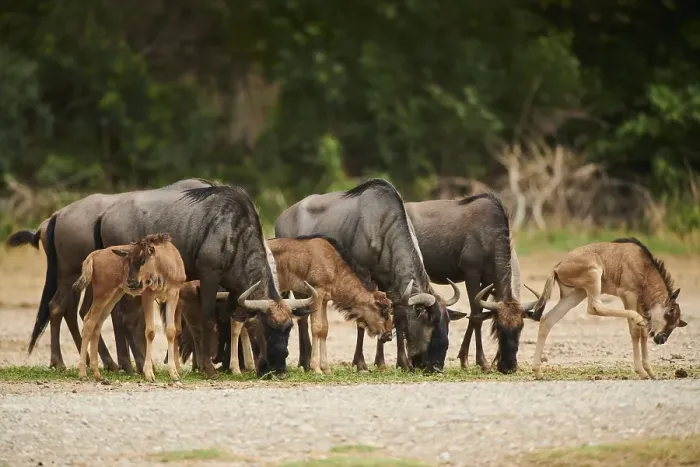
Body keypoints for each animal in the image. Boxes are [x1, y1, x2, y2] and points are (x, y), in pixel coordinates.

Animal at [73, 233, 186, 382]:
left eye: (143, 260)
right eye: (129, 260)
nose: (131, 282)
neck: (165, 266)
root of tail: (95, 254)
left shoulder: (173, 295)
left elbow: (171, 331)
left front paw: (174, 373)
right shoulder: (148, 295)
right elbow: (150, 332)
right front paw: (149, 373)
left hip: (113, 296)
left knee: (97, 324)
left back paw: (97, 373)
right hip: (102, 293)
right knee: (89, 322)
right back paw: (82, 373)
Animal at [530, 237, 687, 380]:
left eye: (676, 323)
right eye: (670, 312)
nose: (662, 339)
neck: (643, 266)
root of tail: (558, 266)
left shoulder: (640, 302)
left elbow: (643, 332)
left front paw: (650, 372)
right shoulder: (628, 295)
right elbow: (635, 331)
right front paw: (642, 372)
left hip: (577, 293)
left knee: (547, 319)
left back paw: (538, 372)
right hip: (594, 277)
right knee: (594, 307)